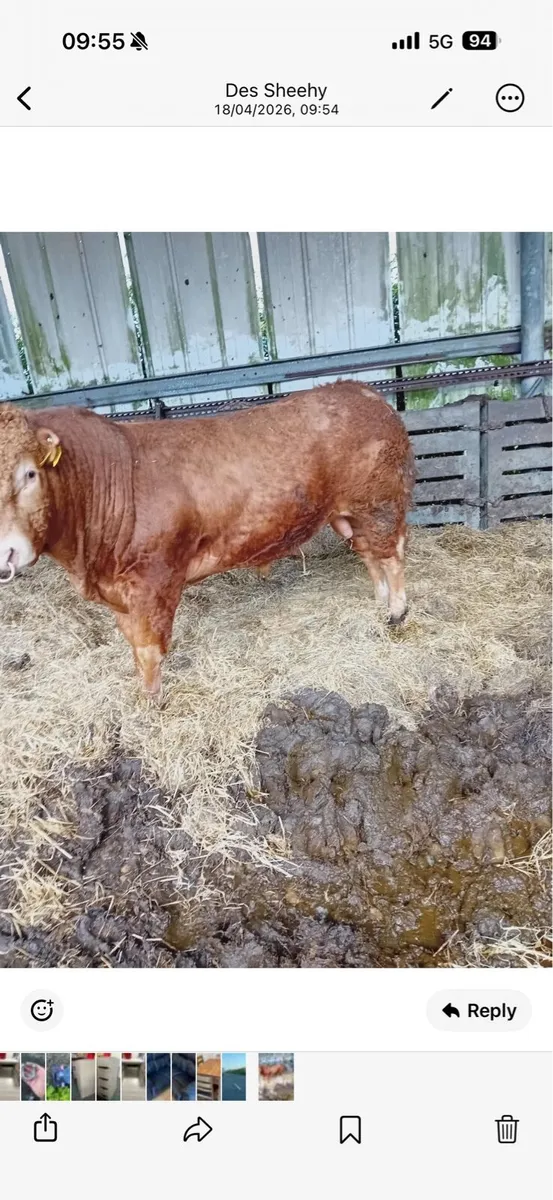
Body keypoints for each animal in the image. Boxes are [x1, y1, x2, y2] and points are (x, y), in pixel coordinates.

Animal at [0, 381, 414, 699]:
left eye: (30, 473)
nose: (7, 552)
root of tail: (362, 391)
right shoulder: (119, 592)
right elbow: (134, 646)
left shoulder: (156, 579)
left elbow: (149, 650)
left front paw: (154, 701)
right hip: (349, 513)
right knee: (369, 553)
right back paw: (379, 602)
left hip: (380, 502)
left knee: (391, 553)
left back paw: (397, 611)